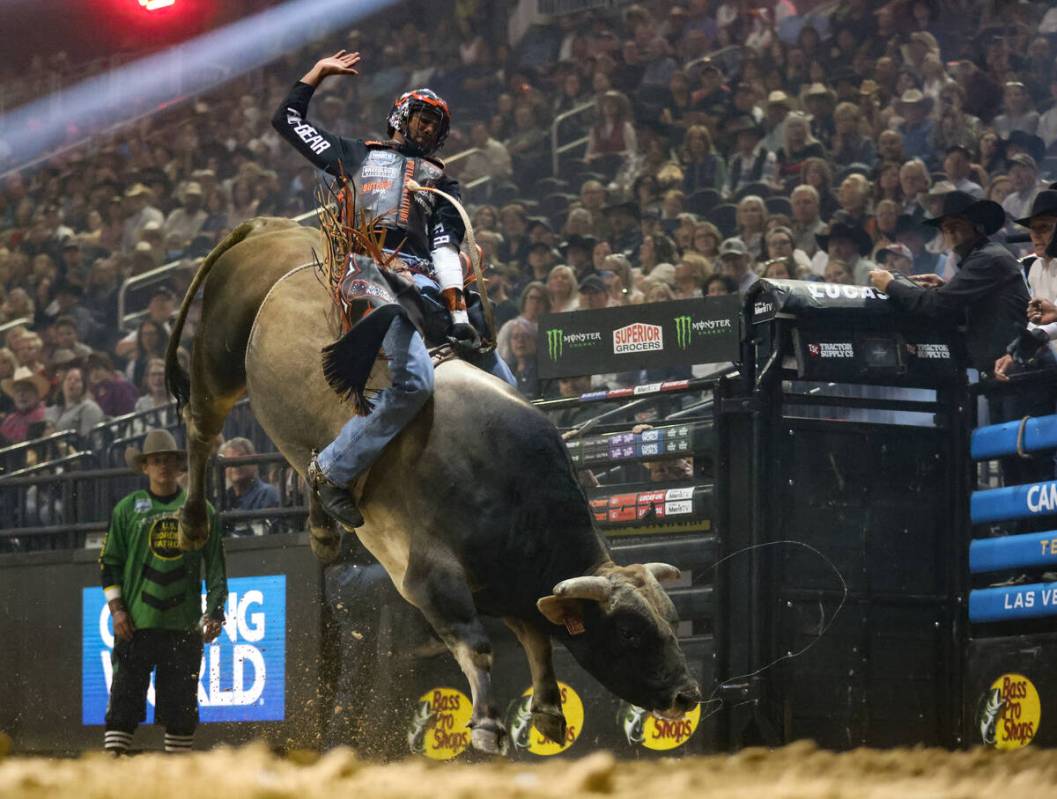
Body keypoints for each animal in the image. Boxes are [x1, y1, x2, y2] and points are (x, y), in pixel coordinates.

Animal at [164, 215, 701, 752]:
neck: (509, 494)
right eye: (630, 633)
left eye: (672, 620)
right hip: (217, 358)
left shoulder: (506, 585)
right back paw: (192, 525)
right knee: (201, 431)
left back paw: (322, 525)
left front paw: (548, 713)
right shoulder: (429, 576)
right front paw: (487, 725)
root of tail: (271, 227)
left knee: (306, 461)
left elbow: (537, 637)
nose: (687, 695)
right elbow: (476, 643)